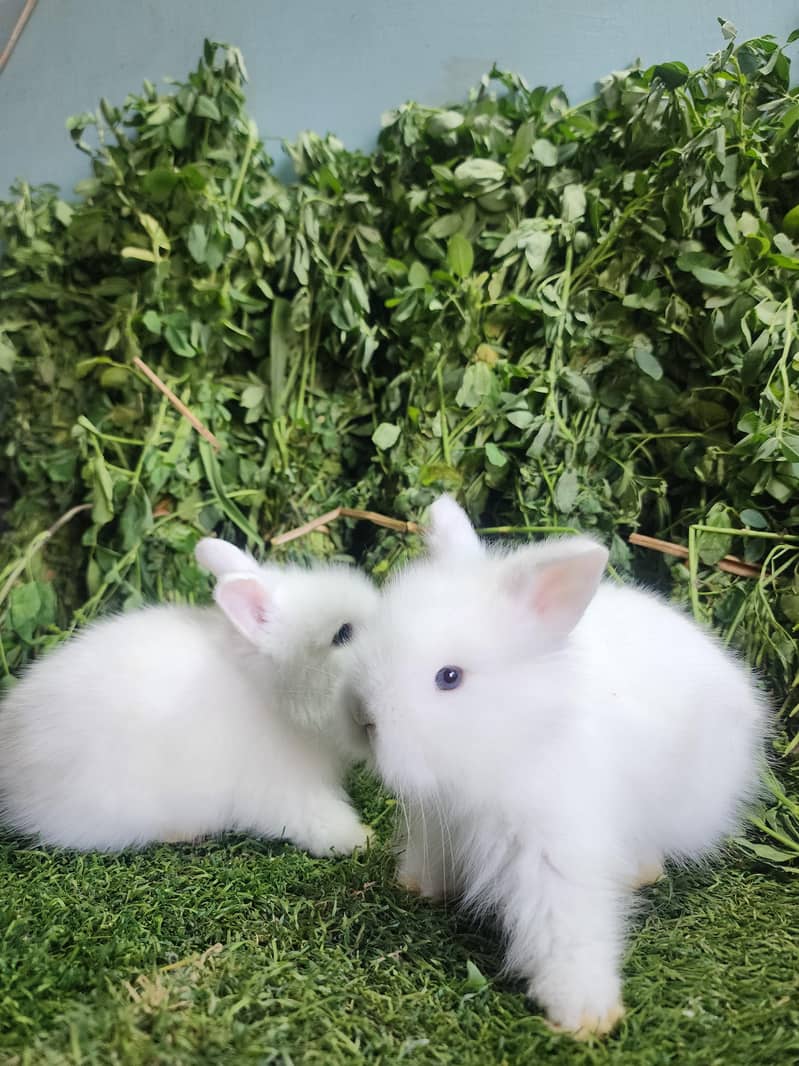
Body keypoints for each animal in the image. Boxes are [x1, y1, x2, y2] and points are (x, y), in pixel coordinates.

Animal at [351, 495, 769, 1039]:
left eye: (450, 677)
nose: (366, 720)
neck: (510, 736)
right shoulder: (437, 819)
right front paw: (420, 886)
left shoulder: (556, 848)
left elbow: (567, 926)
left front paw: (584, 1014)